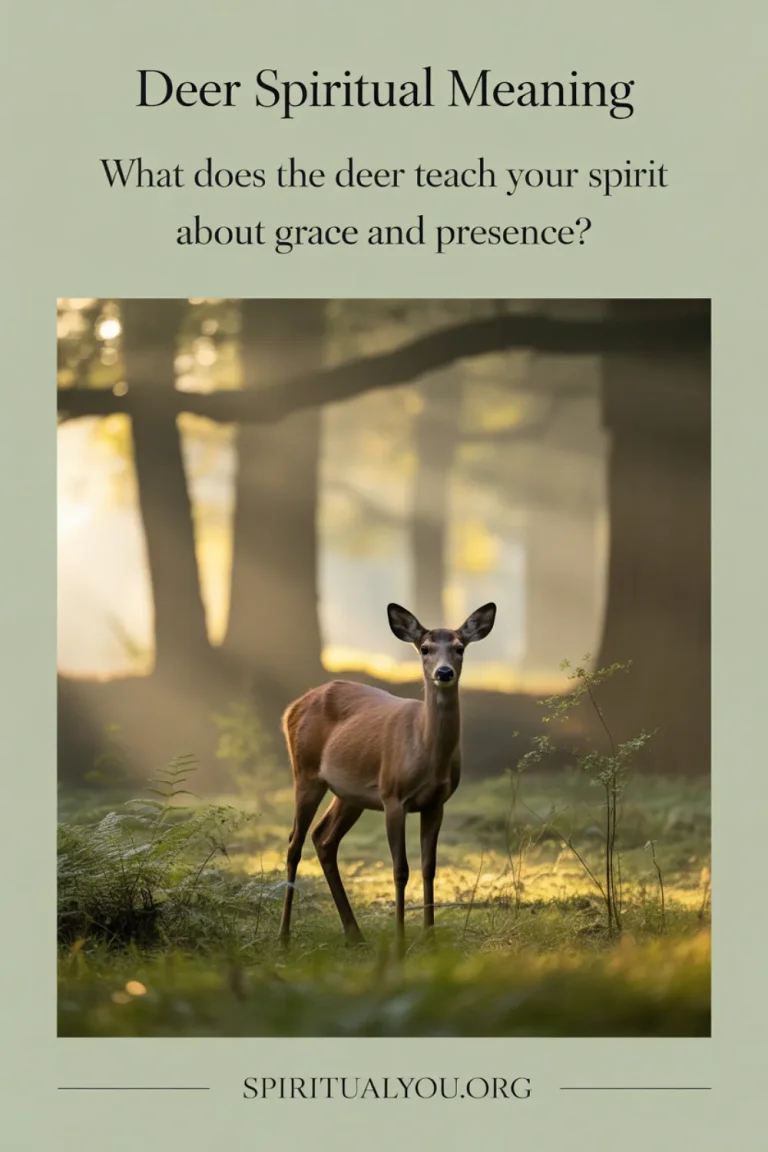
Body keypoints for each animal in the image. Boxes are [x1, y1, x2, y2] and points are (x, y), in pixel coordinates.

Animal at [278, 601, 496, 955]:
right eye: (425, 648)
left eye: (460, 648)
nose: (444, 672)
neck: (425, 751)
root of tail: (291, 707)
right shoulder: (394, 797)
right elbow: (400, 869)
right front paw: (400, 941)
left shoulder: (436, 803)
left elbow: (429, 867)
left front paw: (429, 938)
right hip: (306, 772)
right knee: (294, 843)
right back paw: (283, 937)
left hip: (350, 793)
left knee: (323, 838)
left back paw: (354, 934)